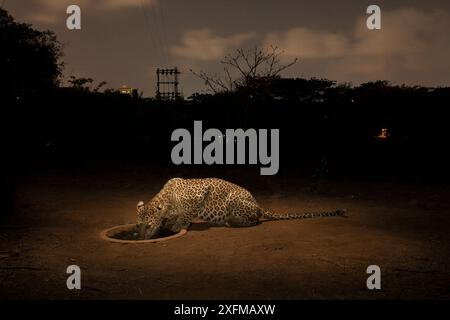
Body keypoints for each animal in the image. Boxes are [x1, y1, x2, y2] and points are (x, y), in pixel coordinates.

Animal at [135, 179, 346, 239]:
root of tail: (258, 204)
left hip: (233, 201)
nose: (143, 238)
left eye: (148, 225)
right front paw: (170, 223)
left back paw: (232, 222)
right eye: (138, 226)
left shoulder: (200, 193)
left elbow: (188, 213)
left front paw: (178, 225)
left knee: (254, 220)